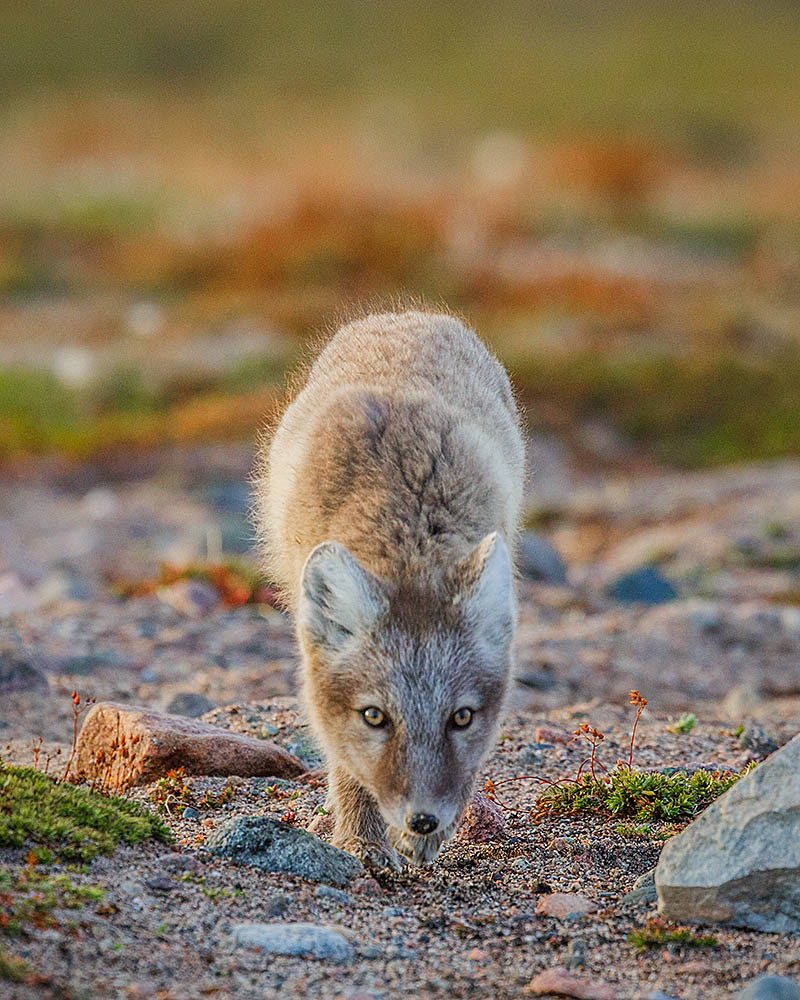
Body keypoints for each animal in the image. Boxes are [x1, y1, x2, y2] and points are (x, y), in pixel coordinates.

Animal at [255, 312, 524, 868]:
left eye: (461, 717)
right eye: (374, 717)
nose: (423, 819)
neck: (409, 542)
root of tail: (405, 315)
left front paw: (425, 840)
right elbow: (346, 763)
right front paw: (363, 841)